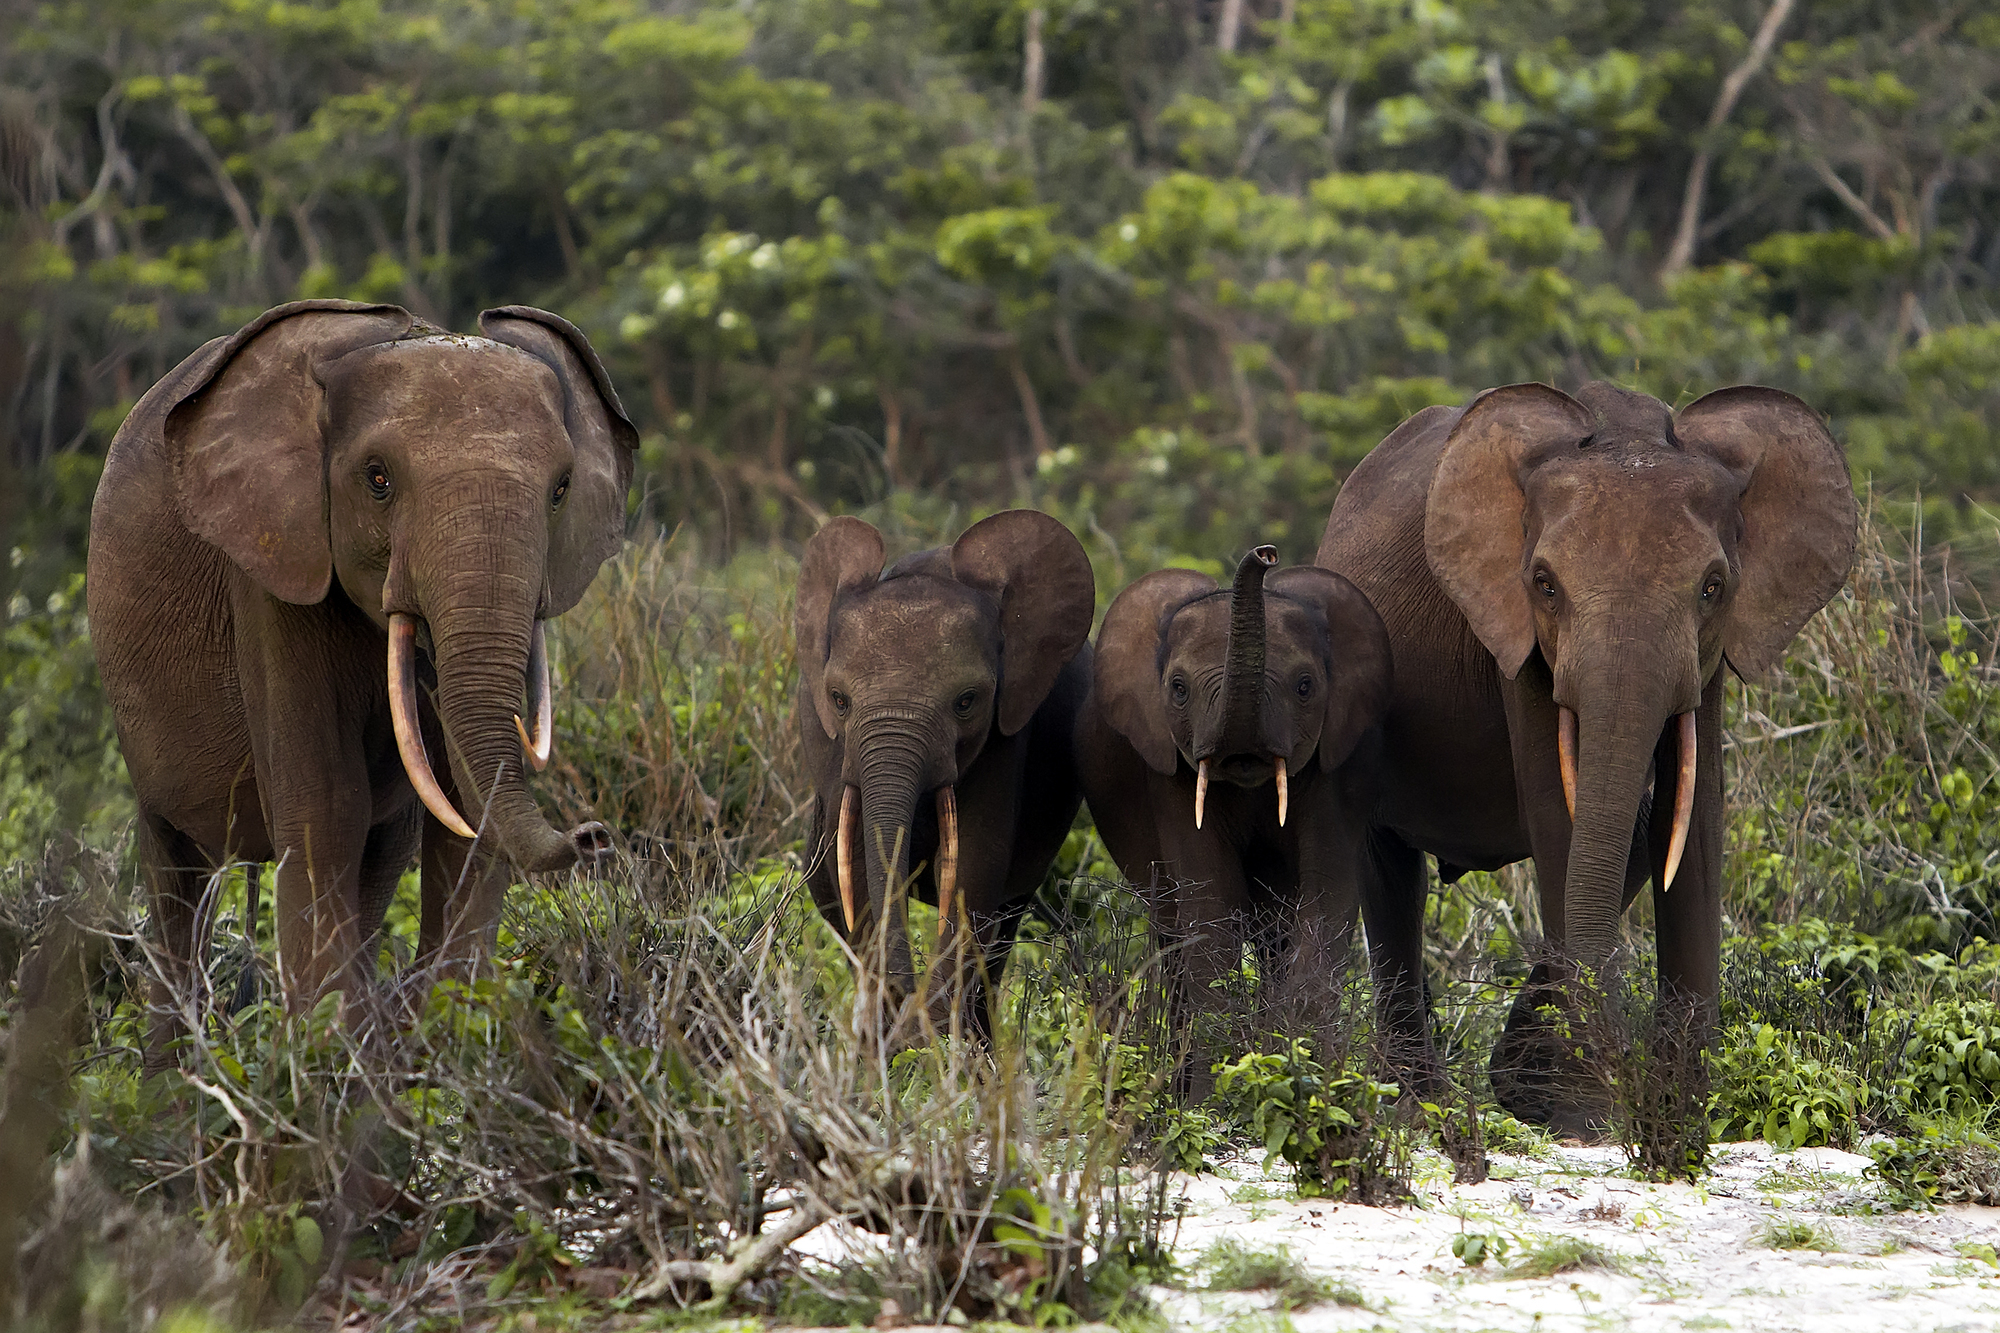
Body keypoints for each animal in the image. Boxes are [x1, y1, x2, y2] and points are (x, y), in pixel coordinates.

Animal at [88, 299, 636, 1055]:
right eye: (378, 479)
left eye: (560, 490)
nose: (595, 836)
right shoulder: (272, 562)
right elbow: (325, 806)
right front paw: (325, 1056)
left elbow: (462, 813)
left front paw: (444, 1037)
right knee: (176, 876)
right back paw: (175, 1074)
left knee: (379, 861)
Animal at [794, 510, 1096, 1037]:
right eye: (838, 699)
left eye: (967, 701)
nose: (905, 1003)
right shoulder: (834, 748)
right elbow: (856, 866)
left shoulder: (1007, 733)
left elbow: (972, 869)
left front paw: (925, 1040)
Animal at [1075, 545, 1392, 1083]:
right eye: (1178, 688)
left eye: (1305, 686)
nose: (1265, 555)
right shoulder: (1168, 769)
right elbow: (1211, 905)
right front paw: (1216, 1089)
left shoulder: (1344, 764)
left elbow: (1326, 898)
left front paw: (1303, 1070)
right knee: (1173, 932)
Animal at [1316, 380, 1856, 1127]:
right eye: (1545, 583)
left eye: (1713, 586)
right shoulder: (1513, 633)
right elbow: (1559, 815)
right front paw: (1581, 1111)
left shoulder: (1711, 656)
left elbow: (1694, 823)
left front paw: (1679, 1109)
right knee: (1391, 873)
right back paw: (1420, 1106)